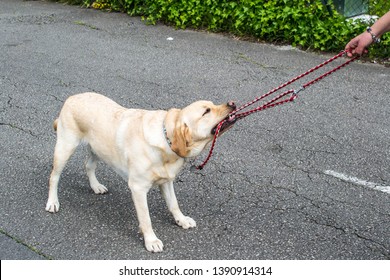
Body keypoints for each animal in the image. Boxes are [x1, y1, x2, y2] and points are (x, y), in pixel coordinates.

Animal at [45, 92, 235, 252]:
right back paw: (53, 202)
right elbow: (146, 219)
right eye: (206, 111)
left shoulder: (166, 181)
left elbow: (174, 204)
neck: (165, 140)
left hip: (97, 149)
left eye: (212, 104)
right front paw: (151, 241)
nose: (232, 103)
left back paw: (96, 186)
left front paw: (181, 219)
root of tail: (71, 97)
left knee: (88, 165)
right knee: (54, 176)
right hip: (65, 147)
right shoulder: (138, 188)